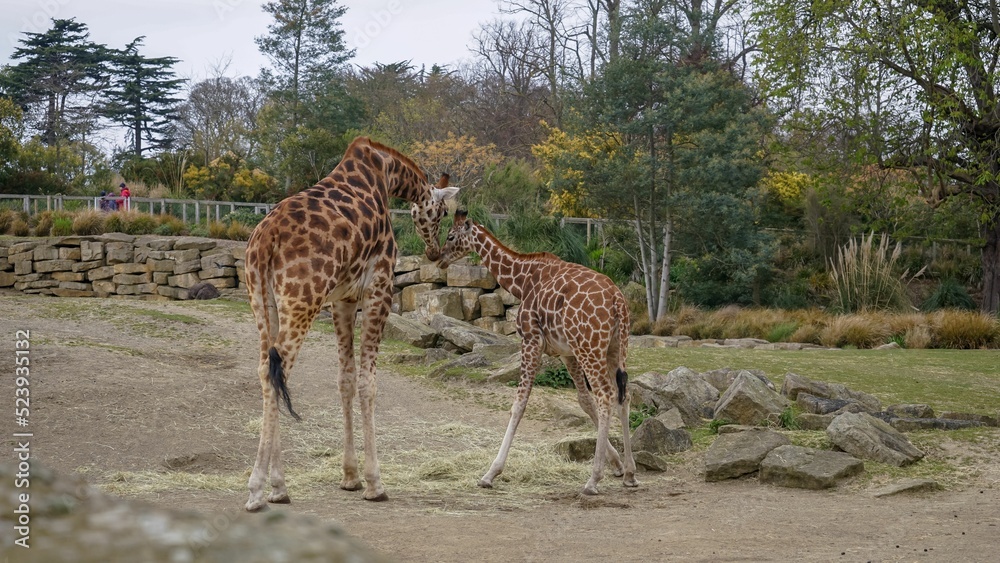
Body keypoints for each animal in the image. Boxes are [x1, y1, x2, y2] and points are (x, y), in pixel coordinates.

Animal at [242, 137, 460, 512]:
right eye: (442, 212)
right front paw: (374, 483)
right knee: (277, 371)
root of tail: (265, 238)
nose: (434, 253)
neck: (386, 173)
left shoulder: (342, 299)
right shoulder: (379, 288)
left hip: (262, 302)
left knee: (266, 370)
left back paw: (278, 488)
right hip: (302, 301)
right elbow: (367, 383)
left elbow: (344, 379)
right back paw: (259, 490)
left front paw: (350, 477)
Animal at [440, 213, 640, 498]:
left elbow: (519, 404)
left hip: (590, 348)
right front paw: (619, 466)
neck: (522, 280)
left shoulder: (531, 340)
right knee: (624, 394)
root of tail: (618, 301)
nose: (437, 258)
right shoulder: (566, 352)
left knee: (606, 395)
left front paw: (490, 473)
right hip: (615, 347)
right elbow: (583, 401)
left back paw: (592, 480)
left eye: (450, 236)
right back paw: (631, 474)